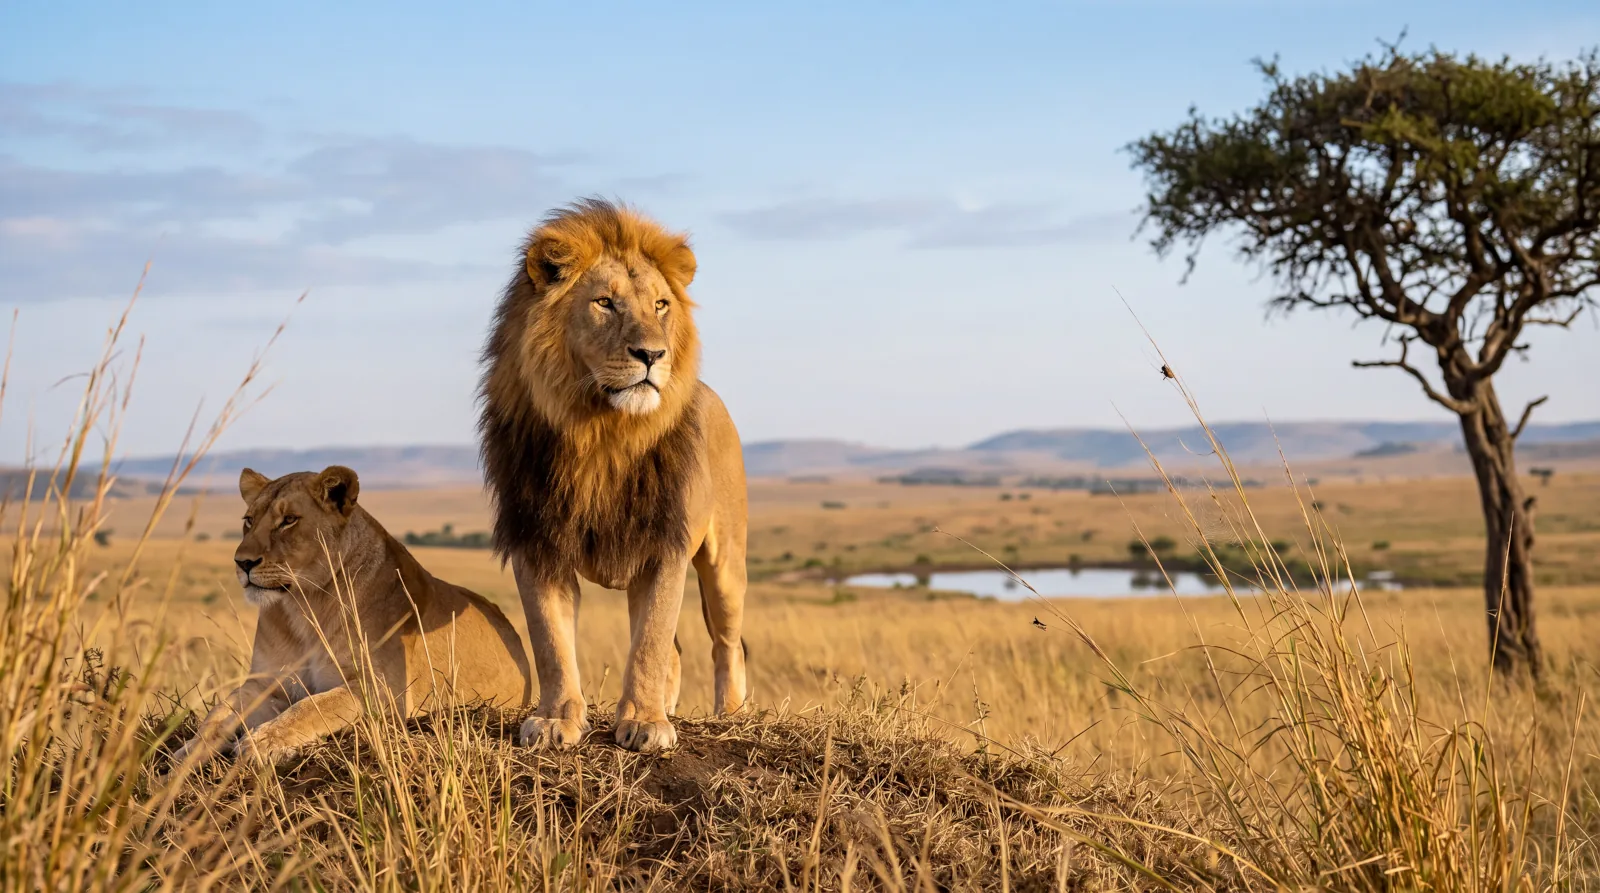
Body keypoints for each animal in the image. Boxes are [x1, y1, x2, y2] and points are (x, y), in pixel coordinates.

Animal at [173, 466, 533, 766]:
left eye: (288, 520)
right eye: (248, 520)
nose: (242, 562)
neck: (304, 606)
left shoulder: (383, 691)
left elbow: (313, 706)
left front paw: (262, 743)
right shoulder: (265, 683)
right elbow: (220, 711)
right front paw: (186, 752)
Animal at [479, 198, 748, 753]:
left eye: (661, 305)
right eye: (605, 303)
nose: (653, 354)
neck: (601, 433)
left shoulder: (664, 543)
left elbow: (650, 641)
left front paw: (645, 723)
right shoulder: (537, 541)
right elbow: (550, 642)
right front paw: (556, 720)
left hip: (727, 564)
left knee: (726, 644)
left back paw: (731, 717)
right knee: (679, 652)